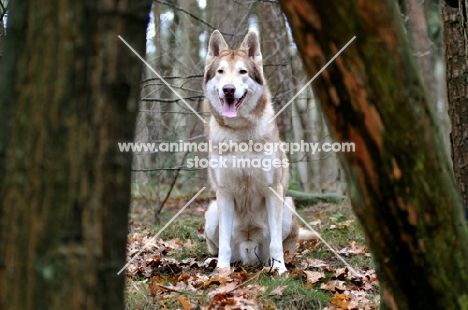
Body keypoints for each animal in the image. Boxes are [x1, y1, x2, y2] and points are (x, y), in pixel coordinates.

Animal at [203, 30, 316, 274]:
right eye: (221, 71)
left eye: (242, 72)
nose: (228, 89)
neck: (240, 133)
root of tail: (248, 253)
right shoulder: (224, 192)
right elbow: (224, 244)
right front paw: (222, 272)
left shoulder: (273, 190)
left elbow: (275, 244)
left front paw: (279, 269)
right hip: (212, 212)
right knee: (220, 247)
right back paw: (214, 262)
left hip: (287, 207)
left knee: (280, 246)